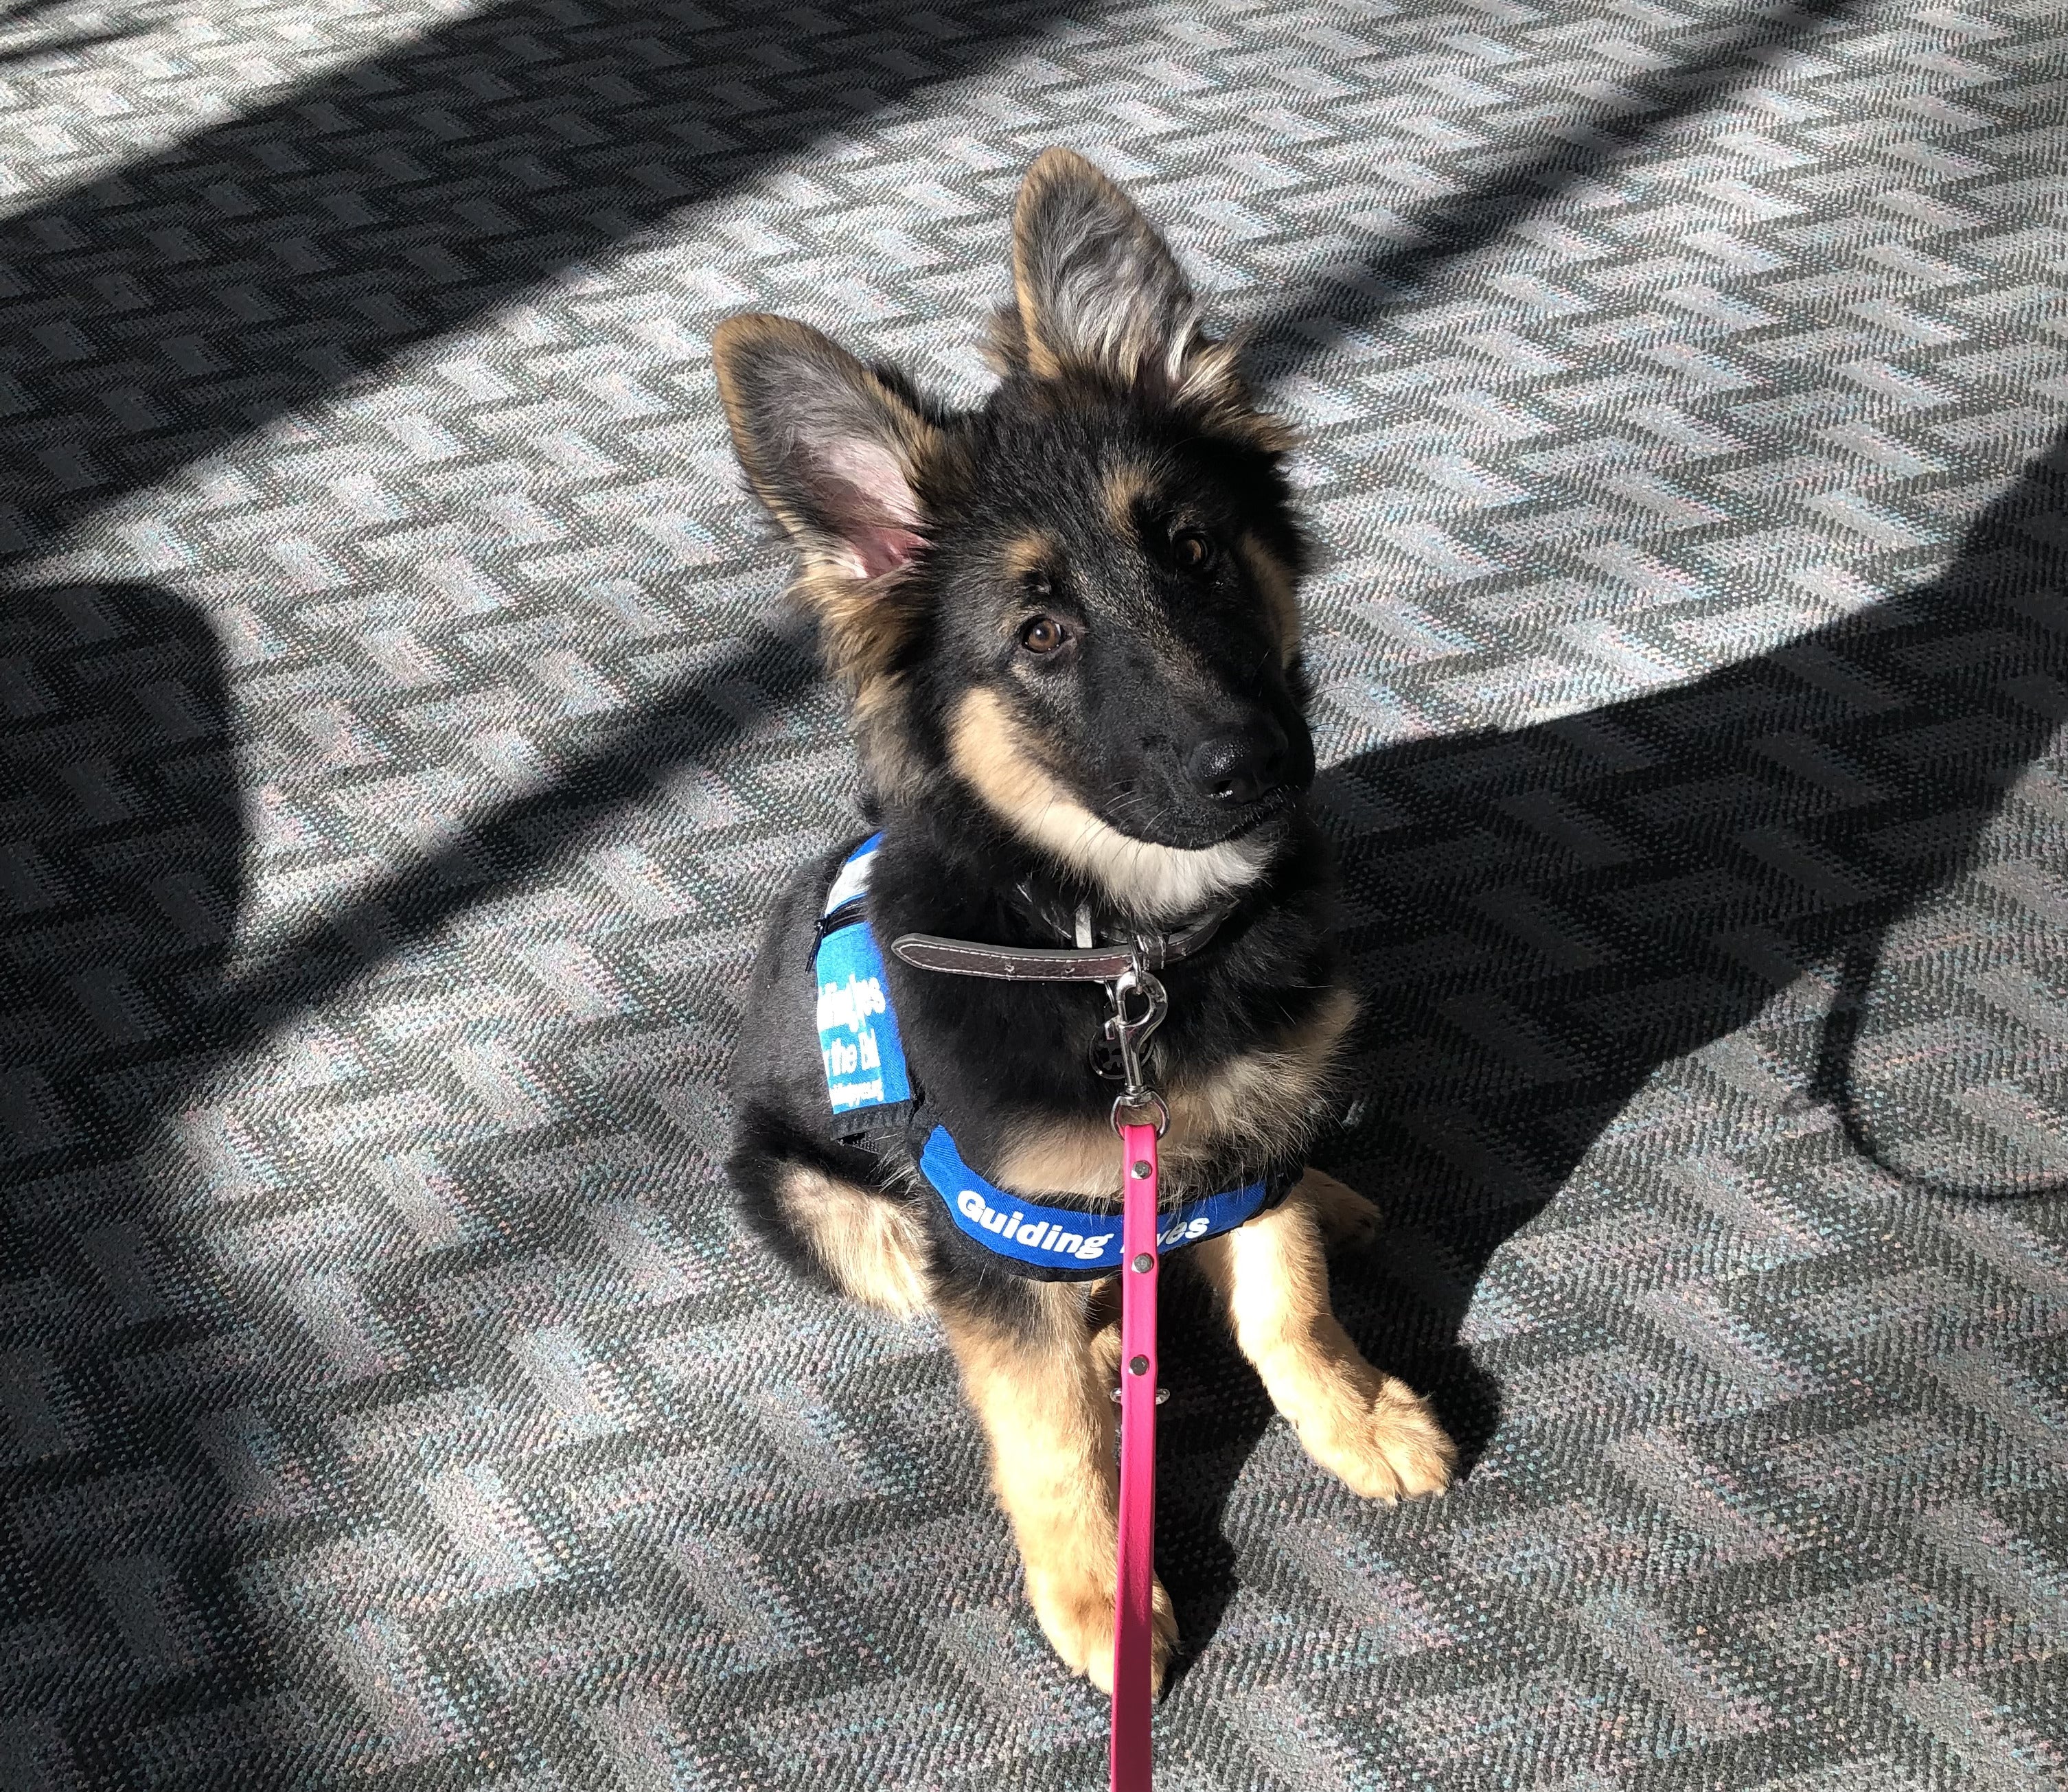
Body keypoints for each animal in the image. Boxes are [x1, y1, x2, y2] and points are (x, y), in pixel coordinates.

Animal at [711, 150, 1456, 1695]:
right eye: (1041, 637)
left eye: (1195, 550)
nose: (1254, 765)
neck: (1119, 949)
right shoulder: (992, 1219)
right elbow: (1045, 1428)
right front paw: (1098, 1588)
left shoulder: (1245, 1119)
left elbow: (1285, 1294)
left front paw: (1351, 1410)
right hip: (834, 1207)